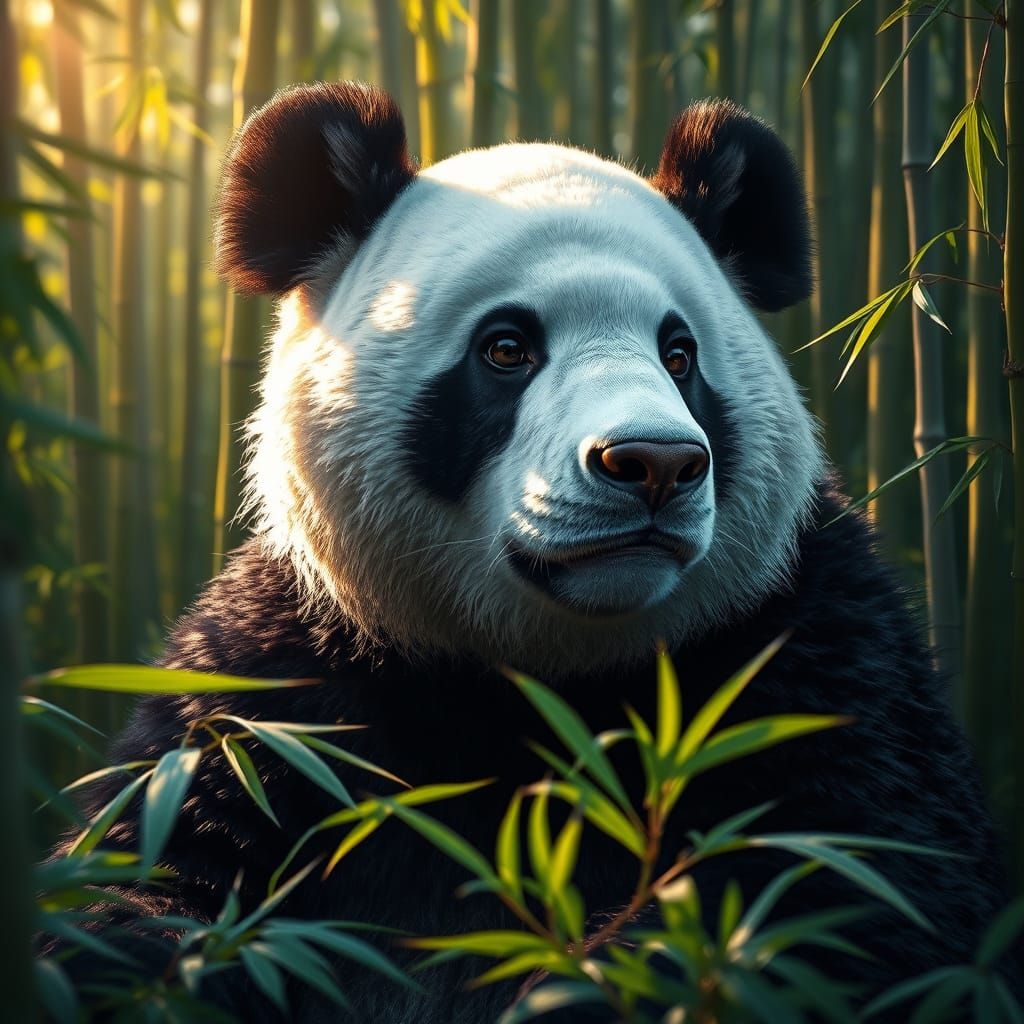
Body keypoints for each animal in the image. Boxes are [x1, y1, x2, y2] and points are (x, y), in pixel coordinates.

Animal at [75, 82, 1013, 1021]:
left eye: (680, 354)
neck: (546, 677)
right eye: (507, 348)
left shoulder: (807, 649)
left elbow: (838, 890)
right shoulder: (289, 687)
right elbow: (155, 871)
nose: (654, 463)